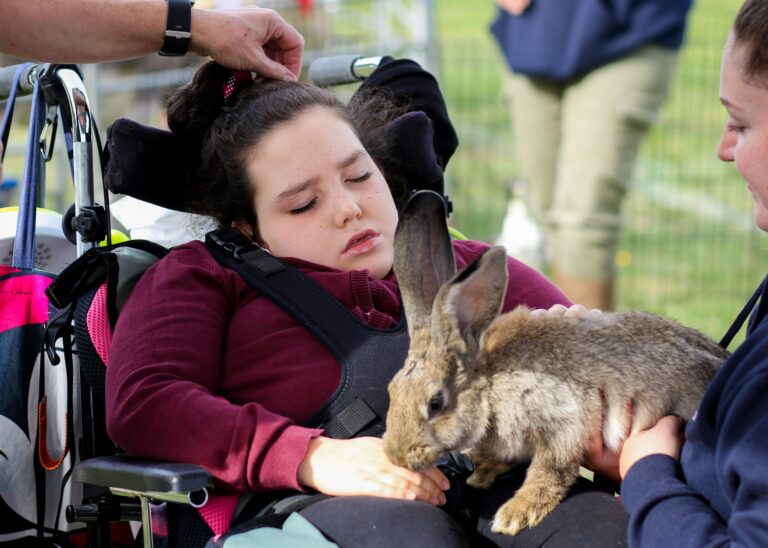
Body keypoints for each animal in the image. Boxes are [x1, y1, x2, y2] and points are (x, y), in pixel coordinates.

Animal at [383, 190, 729, 536]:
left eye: (435, 403)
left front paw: (515, 515)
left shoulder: (562, 418)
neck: (489, 387)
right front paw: (482, 471)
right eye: (392, 390)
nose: (396, 455)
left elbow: (550, 470)